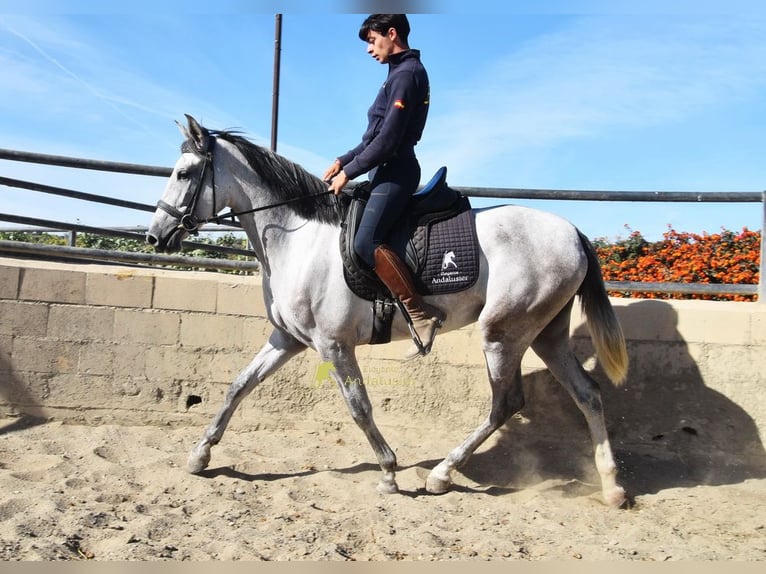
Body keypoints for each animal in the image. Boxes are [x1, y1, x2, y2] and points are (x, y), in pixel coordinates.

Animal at [146, 114, 630, 508]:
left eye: (184, 173)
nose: (154, 237)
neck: (298, 239)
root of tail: (573, 232)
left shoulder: (333, 345)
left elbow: (359, 408)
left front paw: (388, 472)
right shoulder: (288, 340)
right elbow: (238, 386)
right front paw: (200, 454)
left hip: (502, 333)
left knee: (506, 403)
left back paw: (442, 474)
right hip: (546, 334)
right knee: (587, 394)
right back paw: (612, 487)